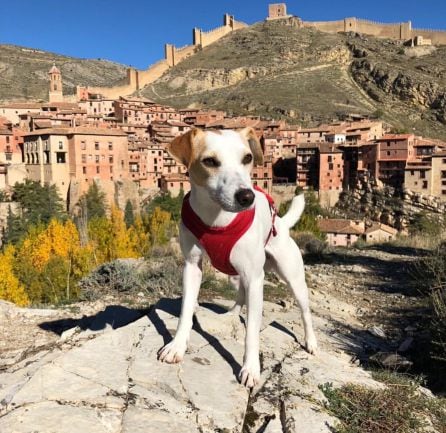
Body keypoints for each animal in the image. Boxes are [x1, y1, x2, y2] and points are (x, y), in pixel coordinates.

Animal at [158, 126, 318, 386]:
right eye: (210, 161)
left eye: (247, 158)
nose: (246, 196)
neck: (217, 219)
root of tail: (281, 224)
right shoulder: (192, 266)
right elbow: (185, 311)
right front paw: (177, 346)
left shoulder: (255, 278)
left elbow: (252, 329)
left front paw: (251, 368)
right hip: (240, 274)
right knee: (241, 295)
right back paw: (232, 314)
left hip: (292, 279)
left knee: (305, 311)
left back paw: (311, 342)